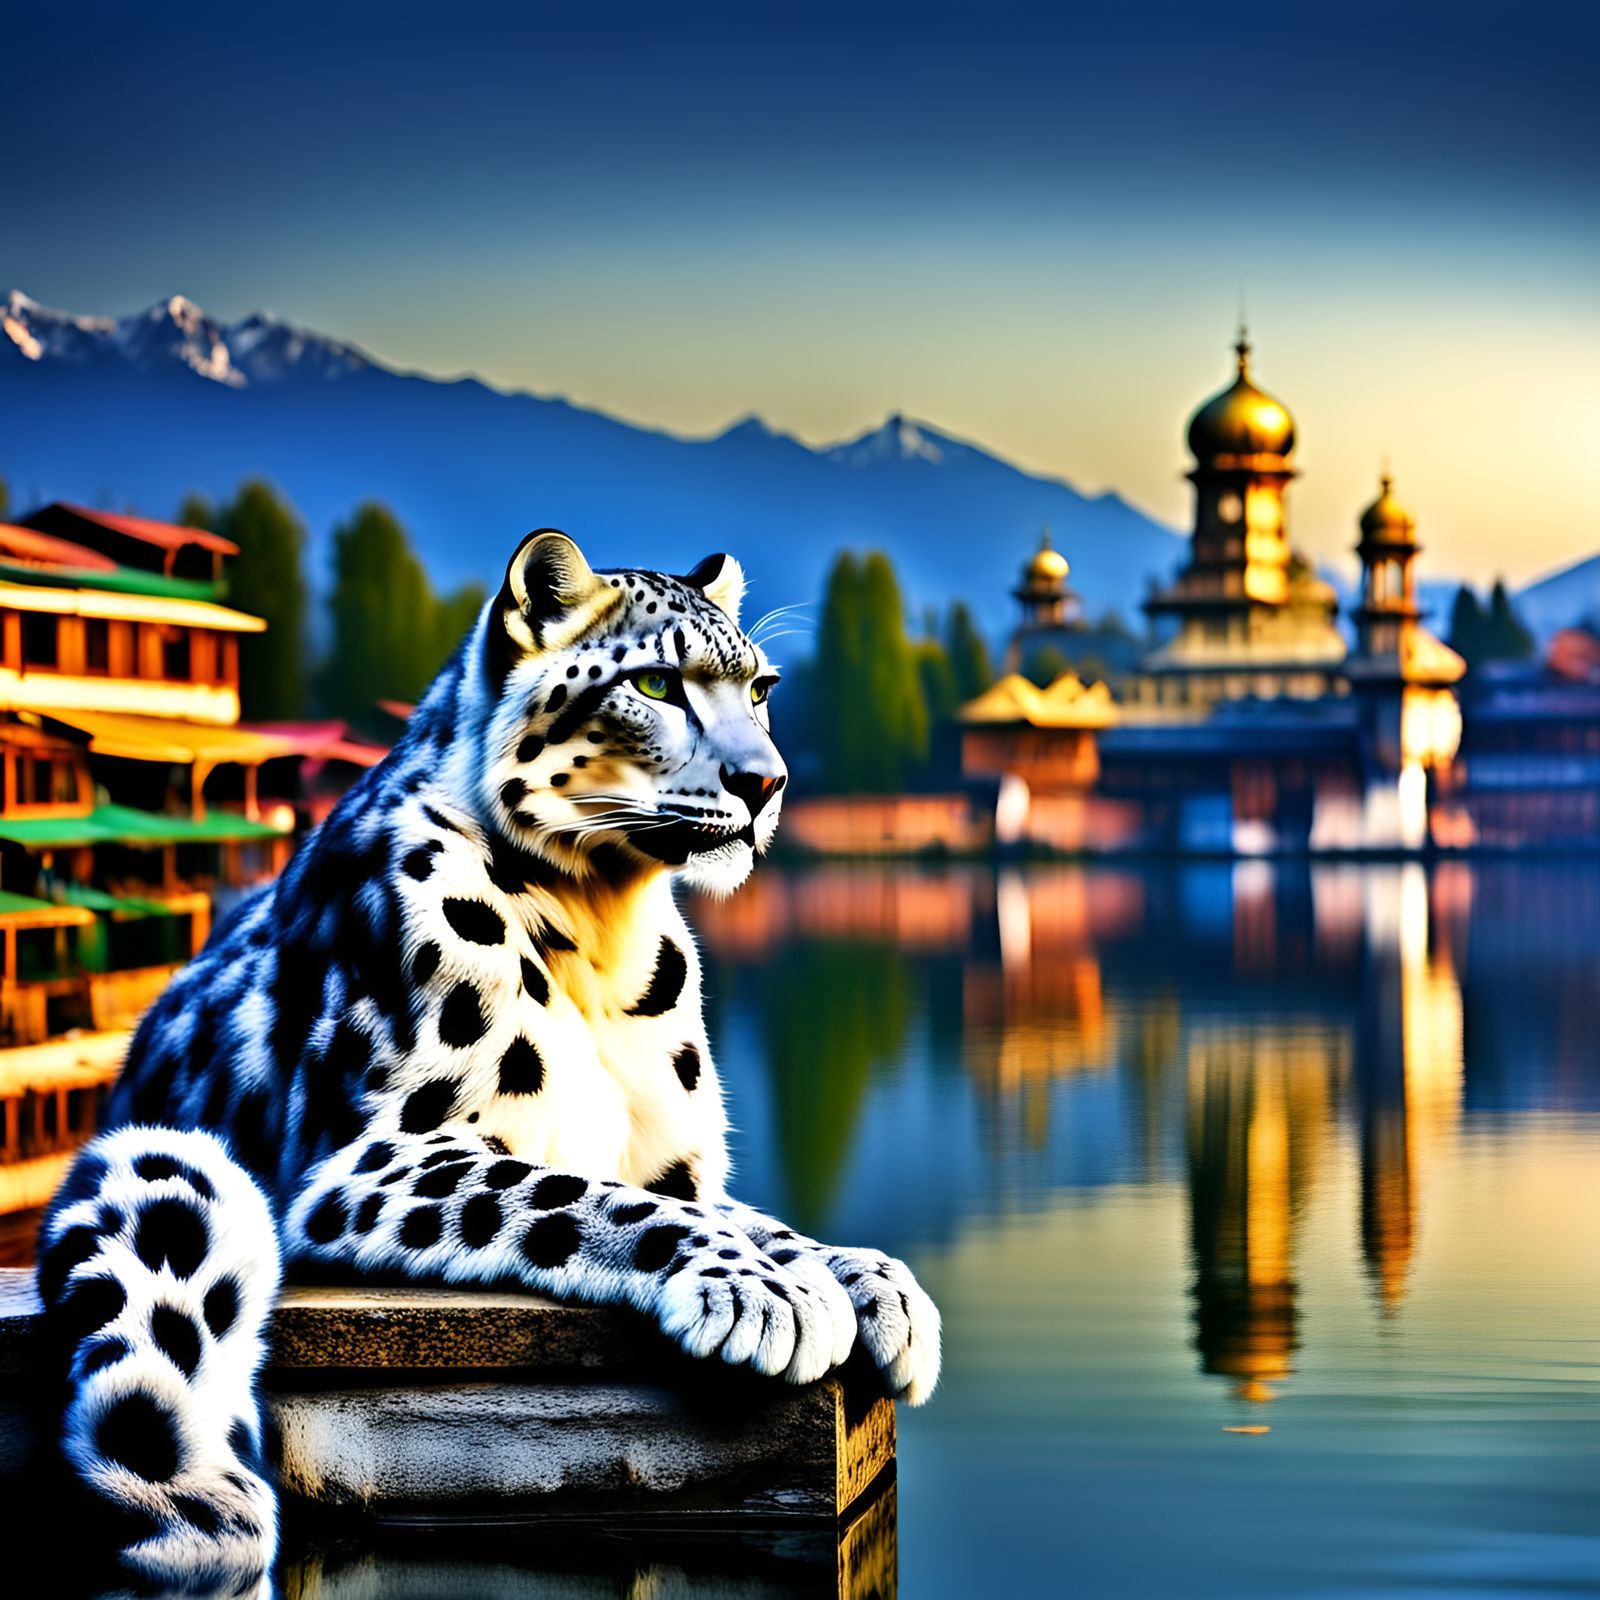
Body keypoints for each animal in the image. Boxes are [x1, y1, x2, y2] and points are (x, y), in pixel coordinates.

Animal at [32, 530, 941, 1591]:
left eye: (760, 687)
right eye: (659, 684)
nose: (768, 784)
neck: (609, 933)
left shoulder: (680, 1167)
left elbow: (749, 1215)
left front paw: (875, 1286)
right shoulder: (386, 1152)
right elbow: (587, 1198)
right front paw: (771, 1295)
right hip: (173, 1167)